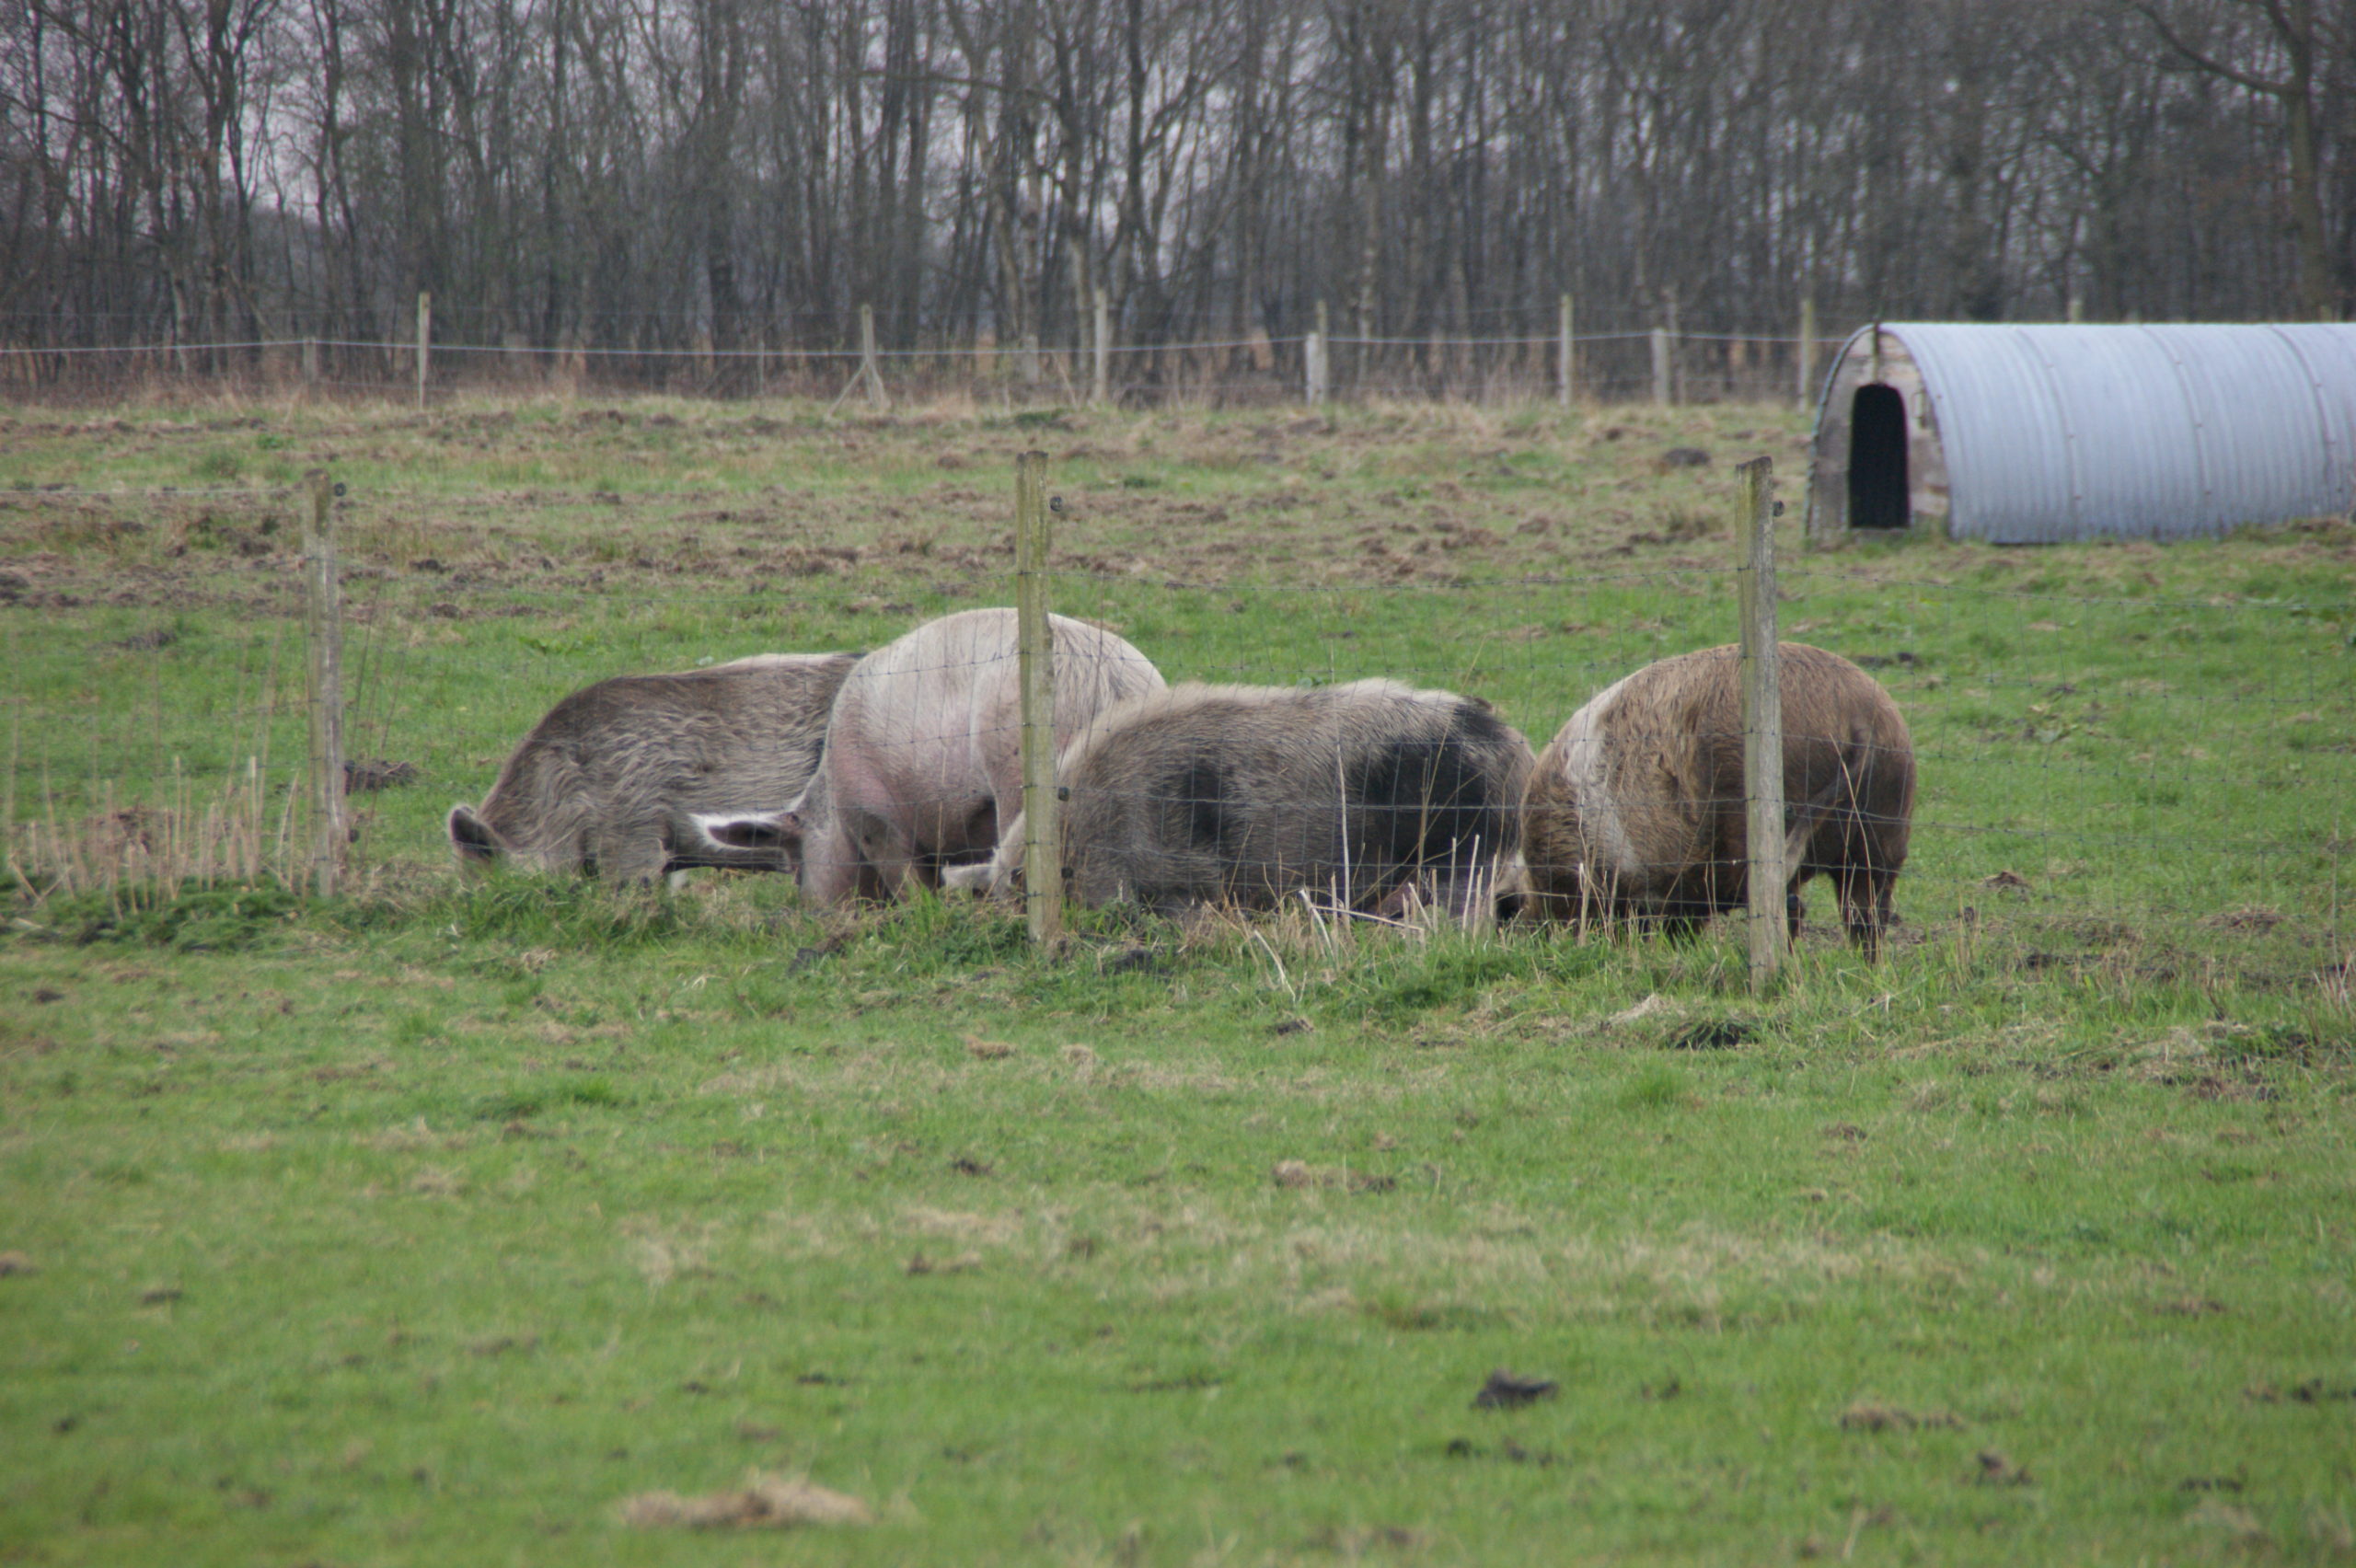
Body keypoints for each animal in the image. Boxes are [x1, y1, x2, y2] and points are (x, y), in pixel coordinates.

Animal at [687, 612, 1163, 904]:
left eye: (796, 865)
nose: (814, 915)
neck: (834, 805)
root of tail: (1105, 677)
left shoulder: (876, 819)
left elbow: (908, 882)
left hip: (1015, 772)